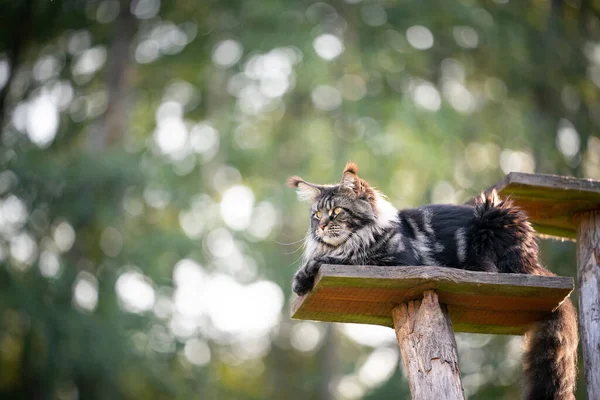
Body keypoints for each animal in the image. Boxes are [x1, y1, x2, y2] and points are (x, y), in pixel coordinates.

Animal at [288, 162, 580, 400]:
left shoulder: (396, 262)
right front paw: (301, 279)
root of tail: (536, 264)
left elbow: (345, 259)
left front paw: (313, 269)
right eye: (317, 215)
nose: (321, 227)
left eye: (337, 211)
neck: (357, 239)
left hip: (494, 218)